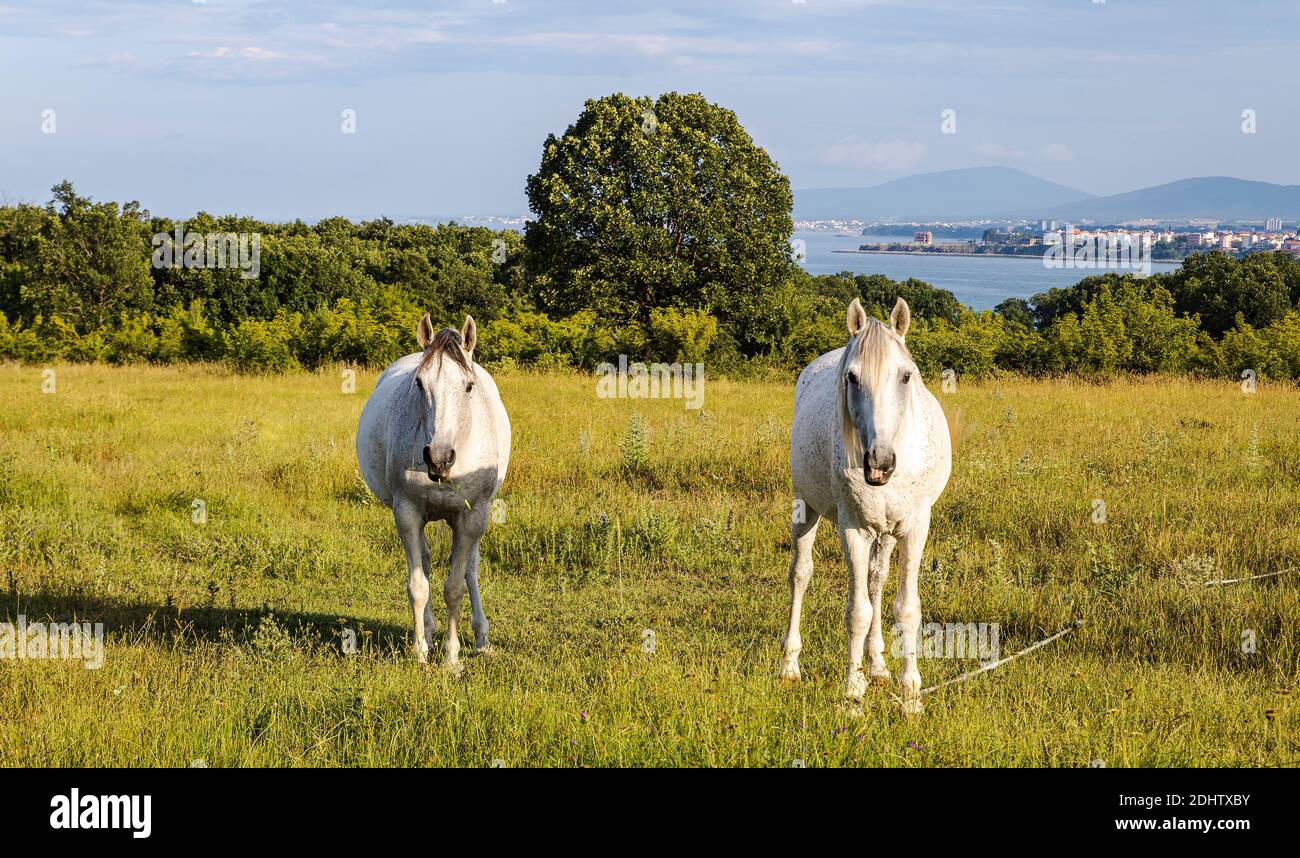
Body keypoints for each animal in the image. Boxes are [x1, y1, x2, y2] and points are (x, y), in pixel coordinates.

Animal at [356, 314, 511, 673]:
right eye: (419, 383)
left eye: (468, 386)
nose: (438, 458)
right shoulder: (407, 514)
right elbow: (418, 586)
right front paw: (420, 652)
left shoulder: (472, 516)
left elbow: (455, 587)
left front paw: (452, 659)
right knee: (425, 564)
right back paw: (428, 629)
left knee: (470, 569)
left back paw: (482, 638)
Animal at [781, 297, 951, 714]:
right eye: (852, 378)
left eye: (906, 376)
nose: (880, 462)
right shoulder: (854, 529)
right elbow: (858, 612)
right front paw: (852, 693)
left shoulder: (914, 527)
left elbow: (906, 608)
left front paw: (910, 694)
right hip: (805, 508)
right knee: (800, 575)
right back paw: (790, 665)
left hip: (885, 534)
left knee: (876, 583)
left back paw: (878, 666)